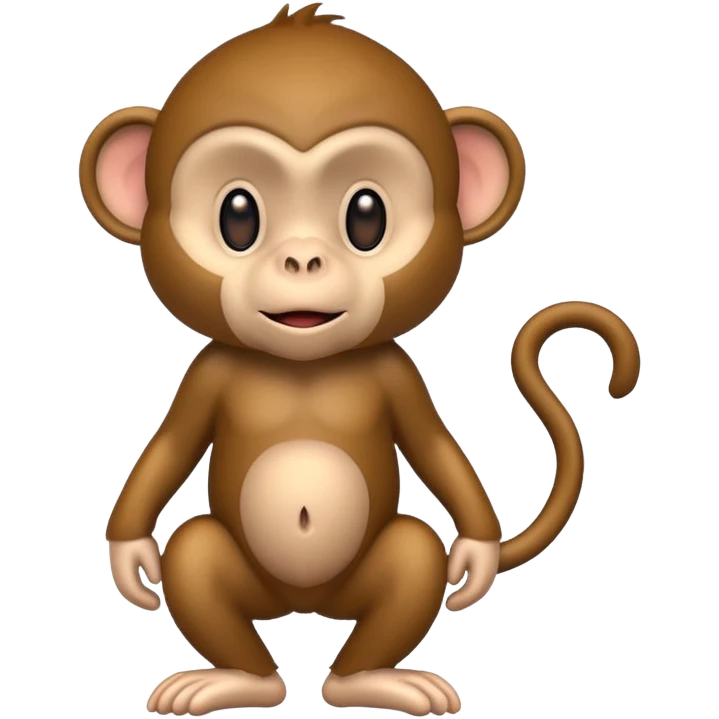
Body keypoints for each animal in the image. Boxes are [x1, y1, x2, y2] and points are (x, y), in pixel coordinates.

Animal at [81, 4, 641, 717]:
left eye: (366, 216)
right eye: (238, 216)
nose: (302, 259)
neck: (303, 363)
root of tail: (305, 608)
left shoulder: (397, 374)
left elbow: (433, 445)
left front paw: (475, 560)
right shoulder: (207, 374)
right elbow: (173, 444)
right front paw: (130, 561)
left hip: (379, 570)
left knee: (414, 558)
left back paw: (368, 679)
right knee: (195, 557)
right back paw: (240, 679)